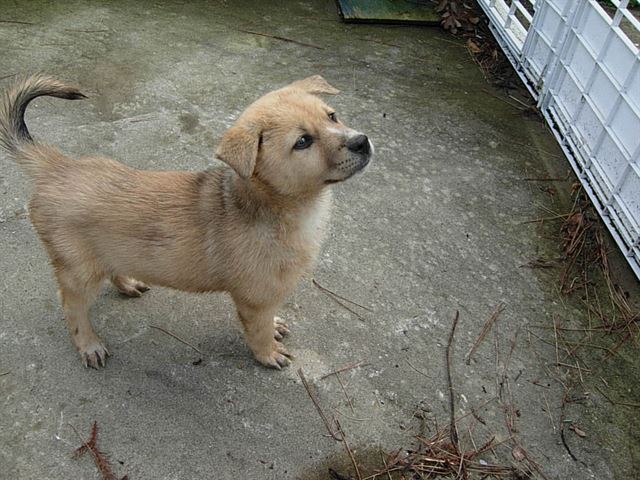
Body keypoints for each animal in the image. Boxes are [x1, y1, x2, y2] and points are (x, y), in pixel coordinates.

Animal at [0, 74, 372, 368]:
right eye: (302, 142)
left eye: (332, 115)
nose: (362, 142)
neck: (274, 205)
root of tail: (58, 166)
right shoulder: (254, 298)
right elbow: (259, 330)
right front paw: (268, 353)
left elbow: (269, 320)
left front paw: (276, 327)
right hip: (78, 270)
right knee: (73, 308)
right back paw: (89, 345)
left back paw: (128, 284)